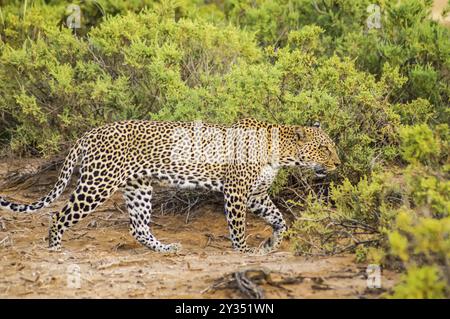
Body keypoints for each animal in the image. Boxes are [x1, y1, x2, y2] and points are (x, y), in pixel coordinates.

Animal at [0, 119, 338, 254]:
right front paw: (244, 251)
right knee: (59, 215)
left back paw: (165, 249)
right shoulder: (236, 191)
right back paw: (55, 249)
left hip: (138, 187)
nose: (338, 164)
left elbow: (279, 219)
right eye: (324, 149)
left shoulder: (256, 195)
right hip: (98, 183)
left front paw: (271, 243)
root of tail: (90, 133)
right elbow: (238, 226)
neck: (280, 154)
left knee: (138, 227)